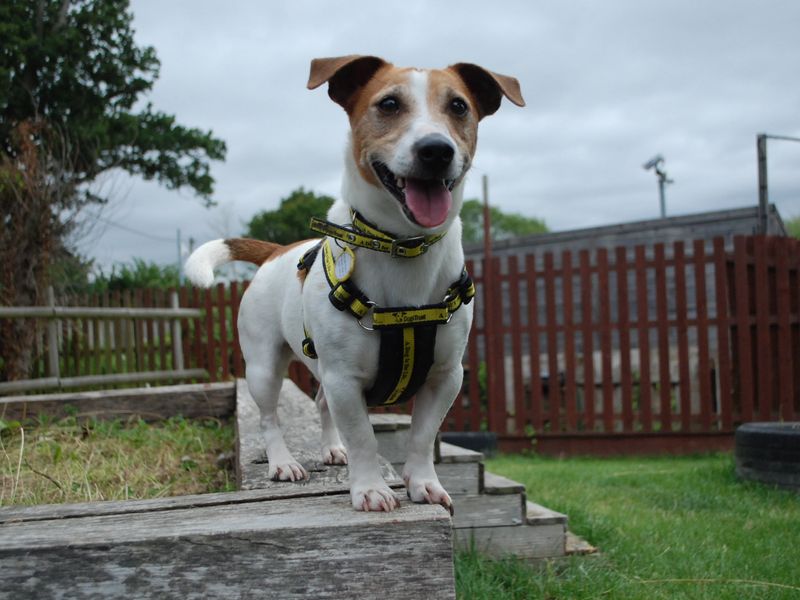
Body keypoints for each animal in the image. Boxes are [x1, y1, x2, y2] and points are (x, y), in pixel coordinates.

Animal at [187, 55, 524, 510]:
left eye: (458, 106)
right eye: (389, 104)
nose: (436, 150)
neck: (403, 248)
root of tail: (275, 250)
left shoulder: (446, 377)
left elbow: (422, 436)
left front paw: (423, 482)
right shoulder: (345, 379)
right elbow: (363, 436)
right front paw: (369, 488)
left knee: (321, 403)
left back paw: (331, 448)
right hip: (263, 365)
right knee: (269, 416)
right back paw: (282, 462)